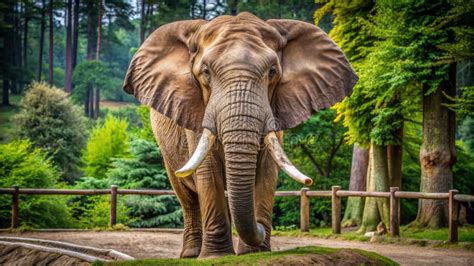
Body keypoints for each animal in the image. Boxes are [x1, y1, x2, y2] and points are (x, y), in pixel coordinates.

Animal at [122, 11, 356, 258]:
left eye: (272, 71)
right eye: (205, 72)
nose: (261, 227)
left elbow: (267, 169)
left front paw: (255, 253)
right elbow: (208, 171)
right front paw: (216, 256)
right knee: (187, 195)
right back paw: (191, 254)